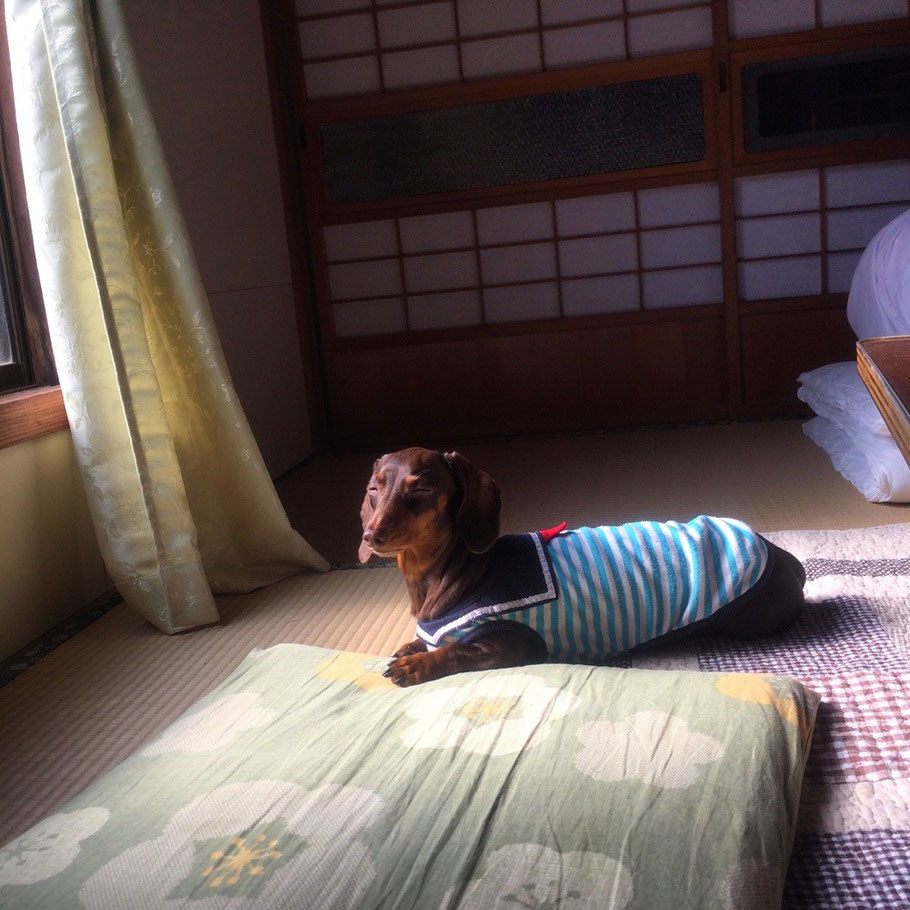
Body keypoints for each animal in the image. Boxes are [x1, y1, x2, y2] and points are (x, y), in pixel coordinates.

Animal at [360, 446, 808, 688]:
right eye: (374, 487)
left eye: (421, 487)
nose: (371, 535)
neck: (455, 571)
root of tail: (781, 555)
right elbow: (429, 641)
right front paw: (412, 647)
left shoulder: (511, 643)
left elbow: (455, 650)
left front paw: (416, 664)